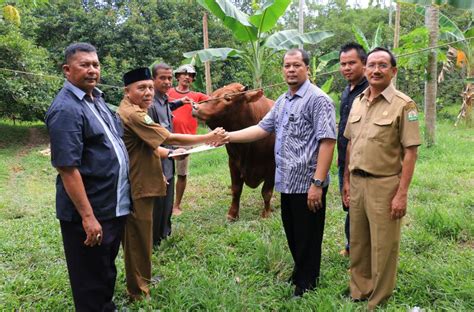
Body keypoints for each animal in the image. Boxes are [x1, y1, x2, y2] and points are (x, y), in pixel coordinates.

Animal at [192, 81, 274, 221]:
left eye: (228, 97)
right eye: (212, 95)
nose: (195, 107)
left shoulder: (273, 166)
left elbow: (266, 192)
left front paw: (266, 214)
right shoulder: (233, 163)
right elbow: (236, 190)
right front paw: (232, 214)